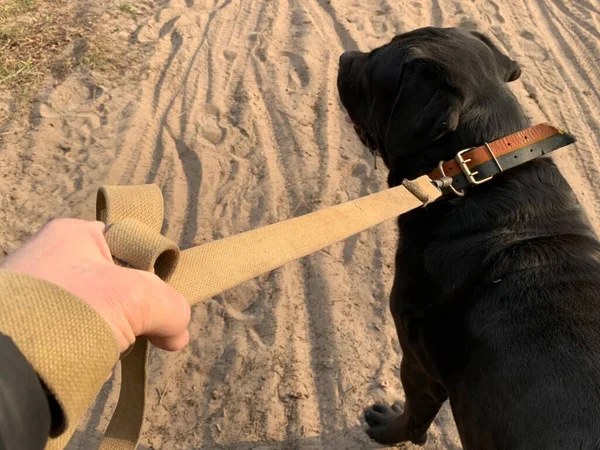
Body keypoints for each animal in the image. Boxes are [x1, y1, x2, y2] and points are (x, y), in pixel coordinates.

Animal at [338, 27, 600, 446]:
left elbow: (414, 418)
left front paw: (388, 428)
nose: (344, 57)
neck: (477, 170)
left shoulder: (417, 362)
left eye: (373, 68)